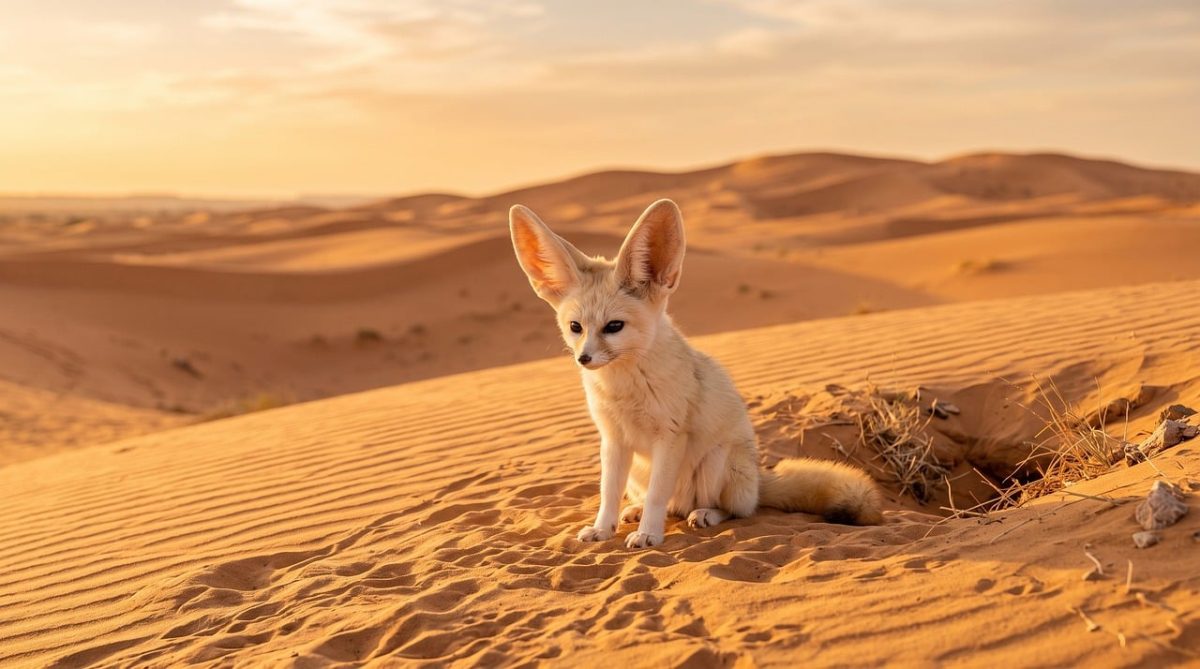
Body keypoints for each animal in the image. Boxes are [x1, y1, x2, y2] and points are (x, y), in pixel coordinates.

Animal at [509, 198, 883, 548]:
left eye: (614, 326)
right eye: (575, 327)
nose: (583, 359)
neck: (624, 388)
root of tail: (759, 478)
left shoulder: (670, 436)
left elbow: (659, 495)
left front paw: (649, 535)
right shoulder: (613, 439)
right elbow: (608, 492)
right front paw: (603, 529)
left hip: (714, 462)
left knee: (732, 510)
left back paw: (704, 514)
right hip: (640, 472)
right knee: (671, 505)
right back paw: (637, 511)